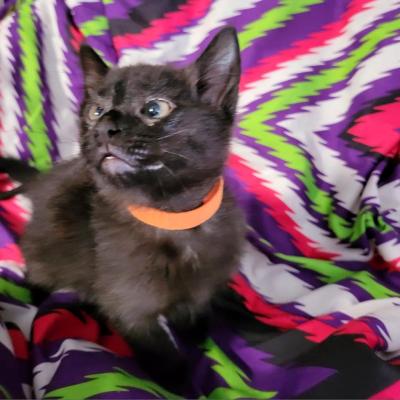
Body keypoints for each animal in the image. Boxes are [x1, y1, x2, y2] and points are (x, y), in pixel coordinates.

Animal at [5, 26, 244, 382]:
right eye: (96, 111)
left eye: (154, 109)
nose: (105, 127)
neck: (174, 221)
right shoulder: (130, 309)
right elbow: (160, 351)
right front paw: (178, 380)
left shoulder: (205, 285)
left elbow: (195, 308)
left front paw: (196, 333)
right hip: (45, 252)